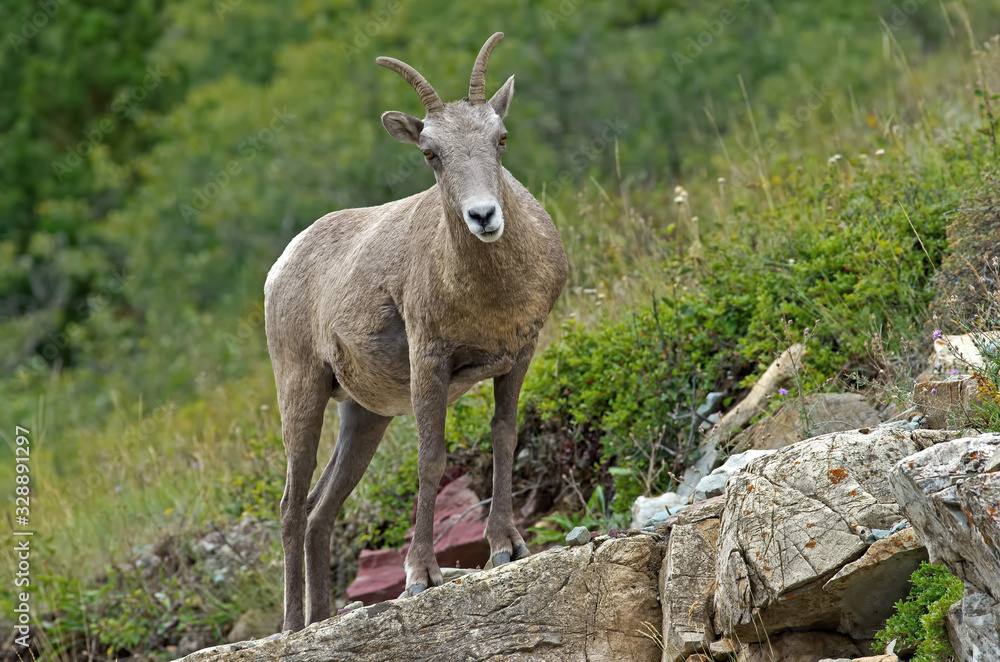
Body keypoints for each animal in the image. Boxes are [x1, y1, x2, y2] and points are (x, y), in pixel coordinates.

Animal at [263, 32, 568, 632]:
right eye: (431, 154)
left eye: (500, 138)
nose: (483, 217)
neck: (486, 292)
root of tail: (280, 267)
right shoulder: (430, 362)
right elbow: (432, 457)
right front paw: (420, 577)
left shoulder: (519, 355)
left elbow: (504, 435)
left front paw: (507, 547)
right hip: (302, 393)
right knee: (291, 507)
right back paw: (294, 627)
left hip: (365, 417)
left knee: (319, 511)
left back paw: (325, 618)